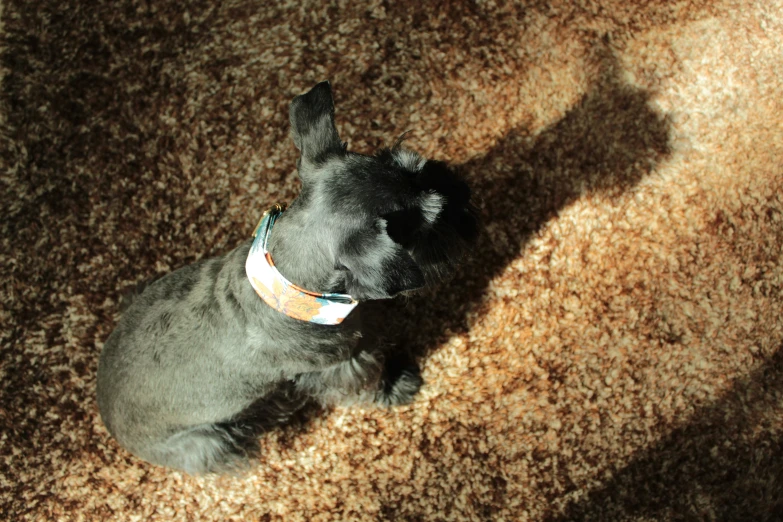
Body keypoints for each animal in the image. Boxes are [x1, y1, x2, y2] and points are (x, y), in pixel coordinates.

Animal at [98, 80, 478, 472]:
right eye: (430, 227)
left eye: (416, 165)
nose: (464, 193)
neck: (287, 285)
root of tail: (106, 416)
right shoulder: (343, 366)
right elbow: (368, 382)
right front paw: (397, 387)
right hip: (208, 441)